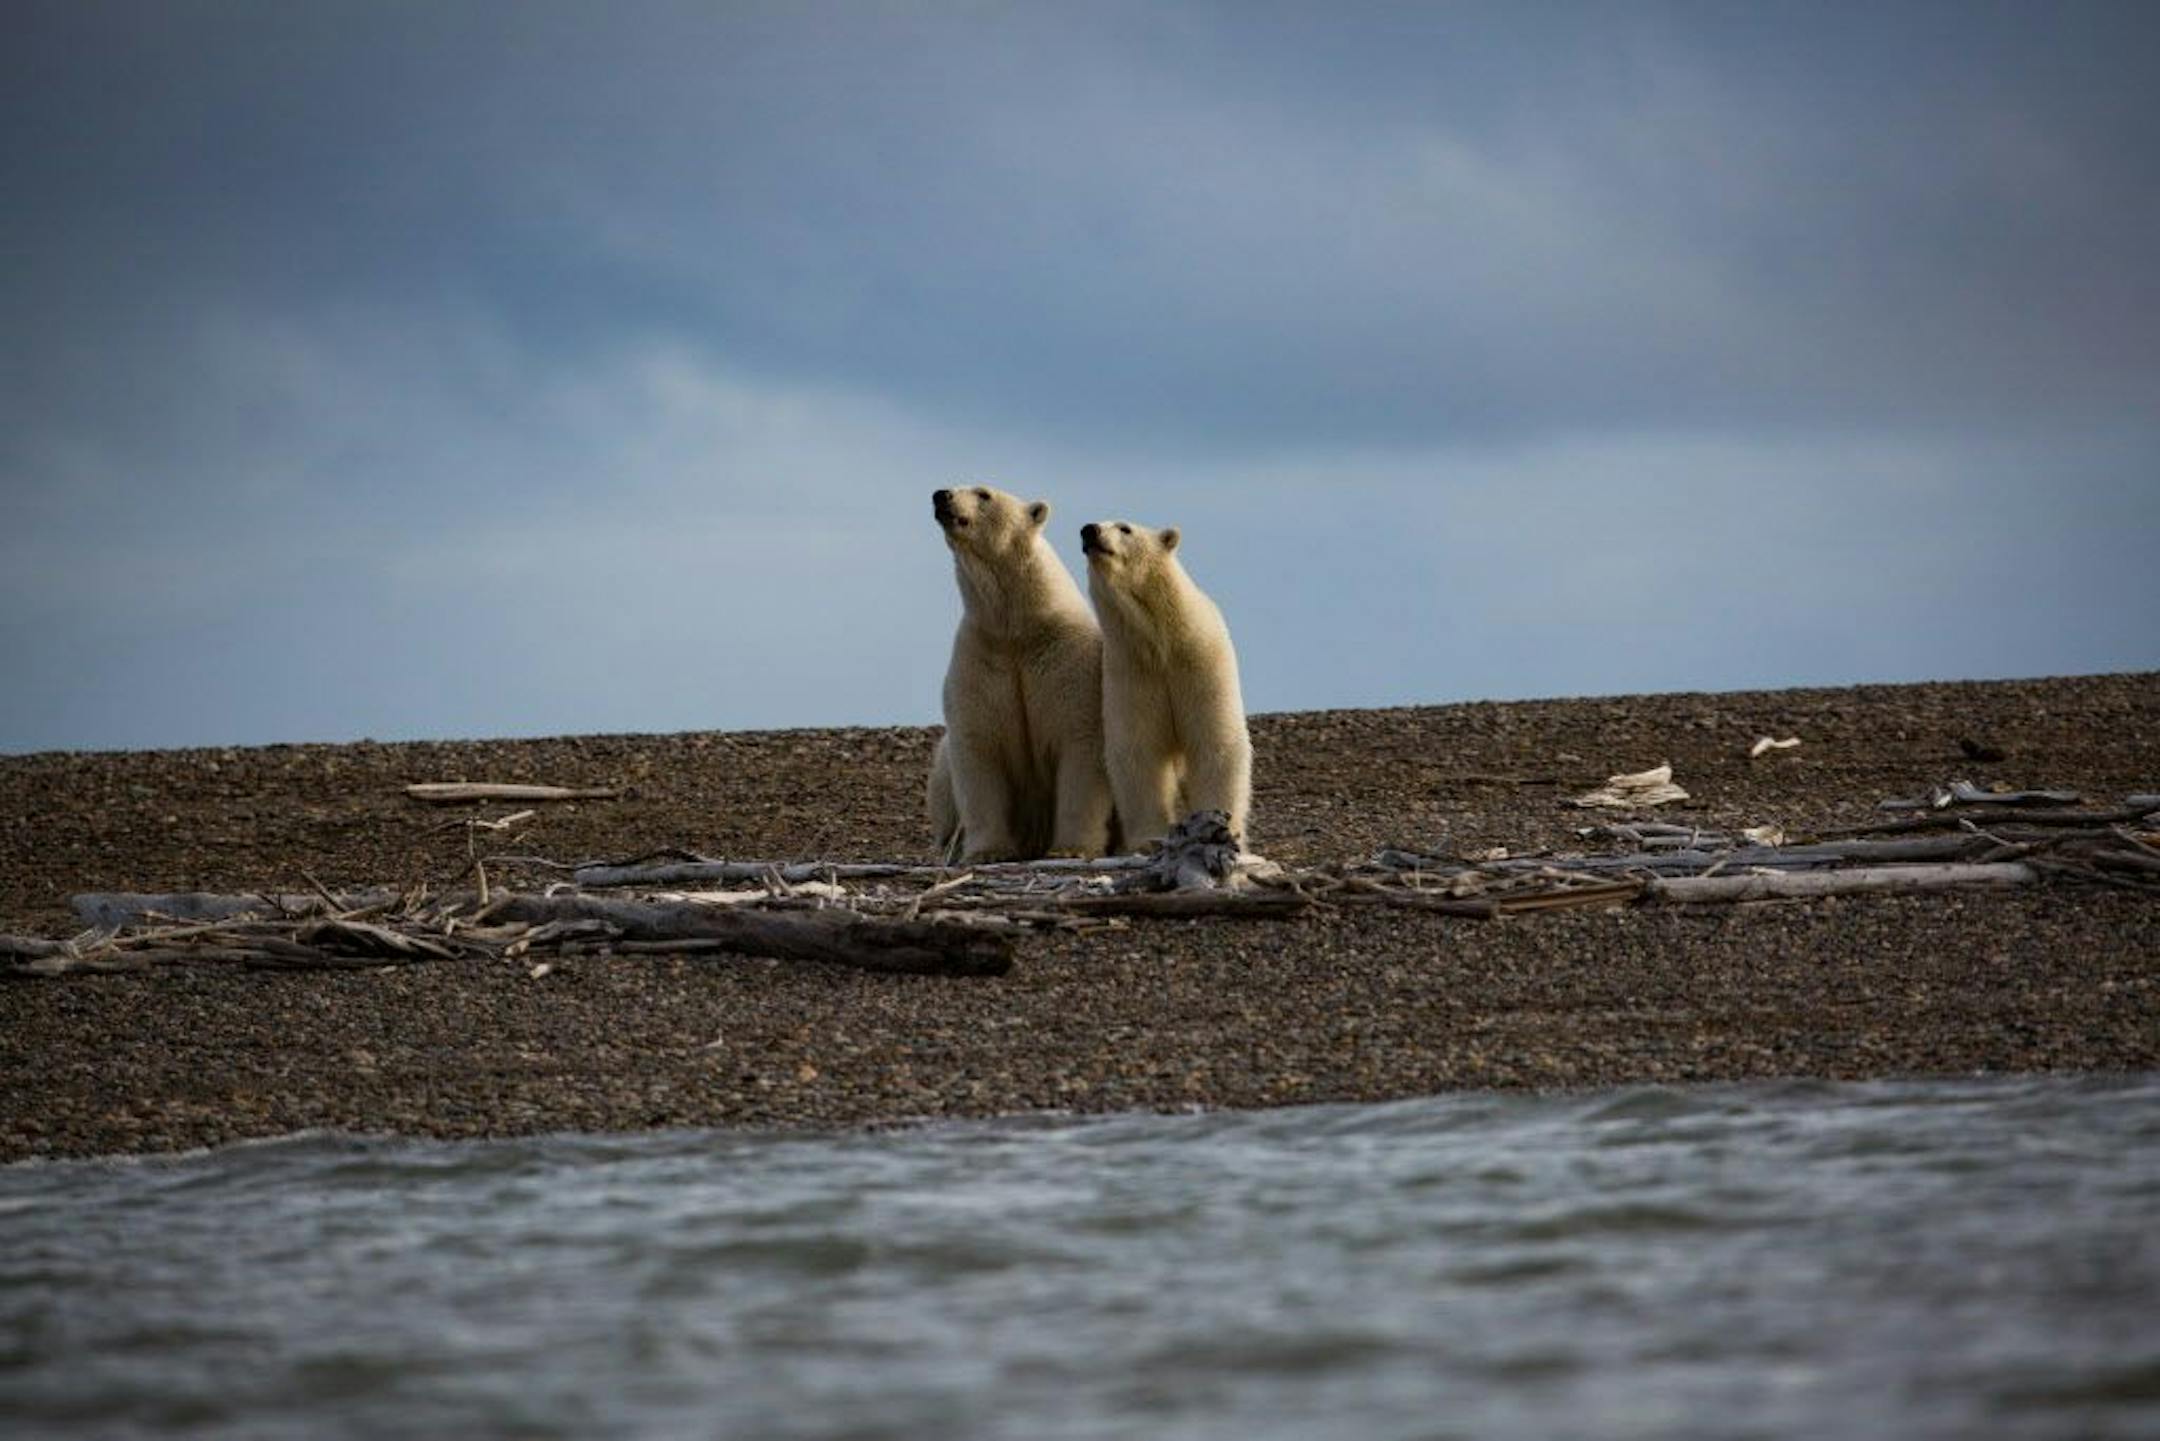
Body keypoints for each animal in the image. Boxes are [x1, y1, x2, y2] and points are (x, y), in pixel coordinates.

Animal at [927, 485, 1116, 862]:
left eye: (984, 493)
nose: (941, 495)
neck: (1018, 629)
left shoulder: (1069, 660)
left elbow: (1080, 744)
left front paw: (1070, 848)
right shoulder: (982, 658)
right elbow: (978, 746)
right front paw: (987, 852)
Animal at [1080, 518, 1252, 850]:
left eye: (1125, 527)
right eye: (1094, 526)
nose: (1089, 530)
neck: (1161, 643)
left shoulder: (1200, 665)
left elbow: (1215, 742)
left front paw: (1219, 828)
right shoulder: (1132, 673)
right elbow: (1138, 752)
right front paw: (1149, 838)